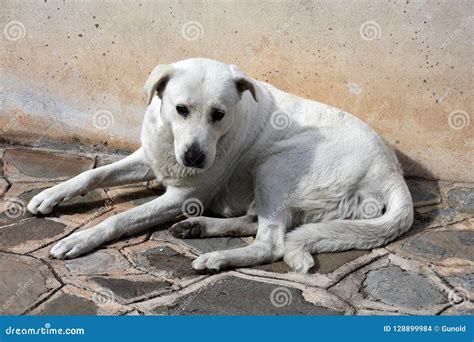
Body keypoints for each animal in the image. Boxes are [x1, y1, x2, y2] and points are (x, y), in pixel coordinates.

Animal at [25, 58, 412, 272]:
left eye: (219, 114)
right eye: (180, 109)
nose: (194, 158)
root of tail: (393, 175)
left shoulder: (184, 197)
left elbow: (121, 218)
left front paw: (81, 238)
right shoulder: (149, 158)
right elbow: (93, 173)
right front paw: (51, 194)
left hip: (276, 164)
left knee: (271, 242)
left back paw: (217, 258)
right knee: (261, 223)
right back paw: (199, 227)